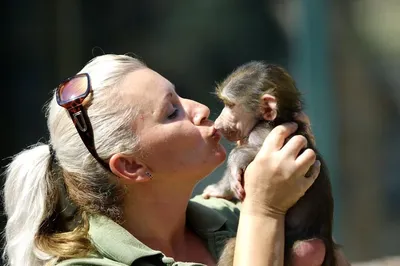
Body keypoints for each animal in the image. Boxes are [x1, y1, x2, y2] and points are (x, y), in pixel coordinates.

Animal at [203, 62, 338, 266]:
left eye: (230, 105)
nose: (216, 124)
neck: (278, 119)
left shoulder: (262, 132)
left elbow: (254, 153)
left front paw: (234, 167)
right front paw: (220, 189)